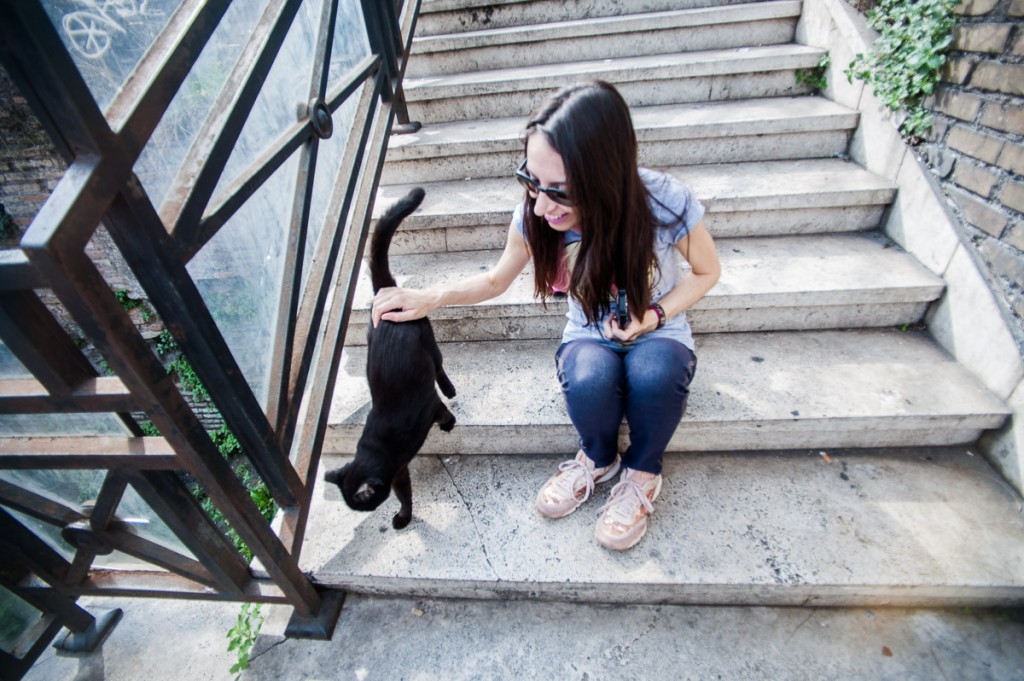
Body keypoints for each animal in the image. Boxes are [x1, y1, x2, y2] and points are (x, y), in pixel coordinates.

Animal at [327, 188, 456, 528]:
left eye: (363, 504)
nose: (366, 510)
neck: (380, 448)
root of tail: (387, 291)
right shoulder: (398, 470)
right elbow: (405, 494)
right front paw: (403, 516)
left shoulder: (428, 409)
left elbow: (443, 412)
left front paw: (449, 425)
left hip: (428, 341)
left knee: (439, 366)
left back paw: (449, 388)